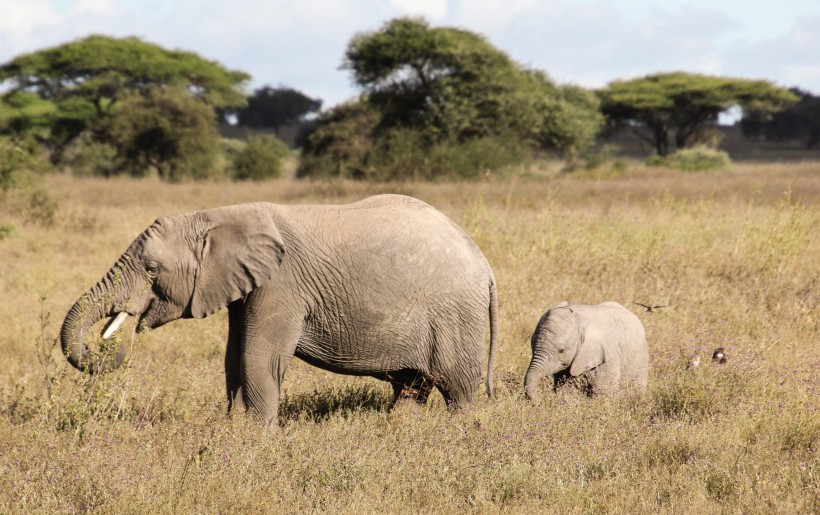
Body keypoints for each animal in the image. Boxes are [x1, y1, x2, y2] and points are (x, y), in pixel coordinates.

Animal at [60, 195, 500, 428]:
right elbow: (233, 358)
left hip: (454, 314)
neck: (219, 215)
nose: (121, 327)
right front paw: (234, 429)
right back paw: (399, 428)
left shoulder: (280, 285)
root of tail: (486, 265)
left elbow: (259, 358)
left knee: (458, 386)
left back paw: (461, 432)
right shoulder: (246, 288)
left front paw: (258, 438)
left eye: (152, 270)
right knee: (411, 385)